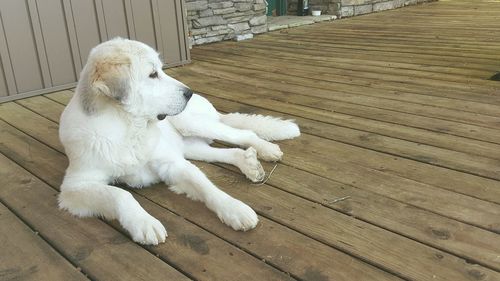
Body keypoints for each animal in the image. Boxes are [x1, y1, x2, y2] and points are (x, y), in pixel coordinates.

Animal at [58, 37, 300, 245]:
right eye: (153, 74)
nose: (189, 93)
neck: (128, 127)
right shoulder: (75, 186)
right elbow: (120, 194)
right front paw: (143, 222)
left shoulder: (171, 163)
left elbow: (206, 186)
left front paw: (234, 208)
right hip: (191, 146)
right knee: (230, 152)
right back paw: (249, 164)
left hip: (192, 123)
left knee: (245, 134)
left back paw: (267, 150)